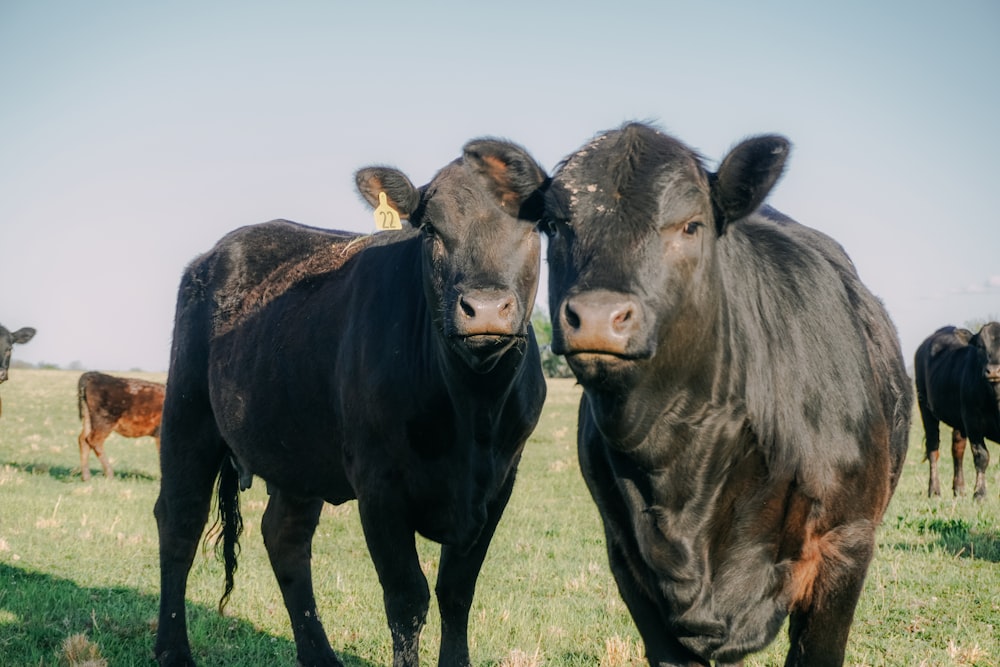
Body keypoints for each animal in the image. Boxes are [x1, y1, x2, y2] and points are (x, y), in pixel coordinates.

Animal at [916, 324, 1000, 500]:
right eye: (980, 346)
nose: (994, 371)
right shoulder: (973, 422)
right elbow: (982, 456)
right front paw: (979, 494)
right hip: (925, 408)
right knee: (933, 448)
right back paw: (934, 490)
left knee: (957, 450)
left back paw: (959, 489)